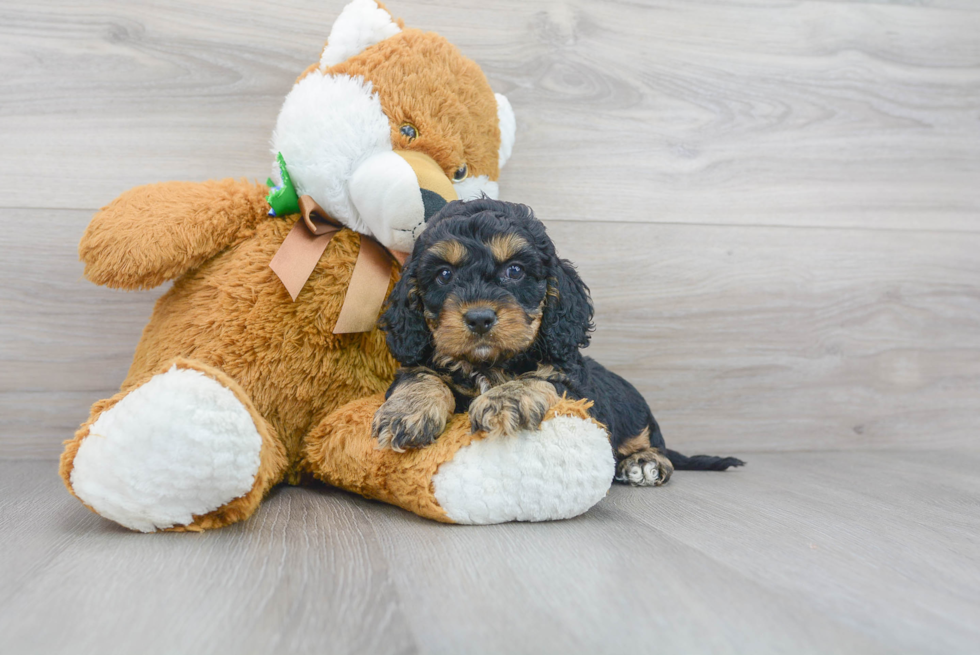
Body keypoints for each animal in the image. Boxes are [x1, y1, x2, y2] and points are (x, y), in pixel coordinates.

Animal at [376, 200, 744, 486]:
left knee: (653, 444)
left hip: (637, 418)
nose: (479, 318)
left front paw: (505, 399)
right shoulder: (423, 363)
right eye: (444, 275)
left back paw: (645, 462)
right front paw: (405, 411)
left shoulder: (578, 389)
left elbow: (541, 379)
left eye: (515, 270)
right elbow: (420, 375)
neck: (491, 363)